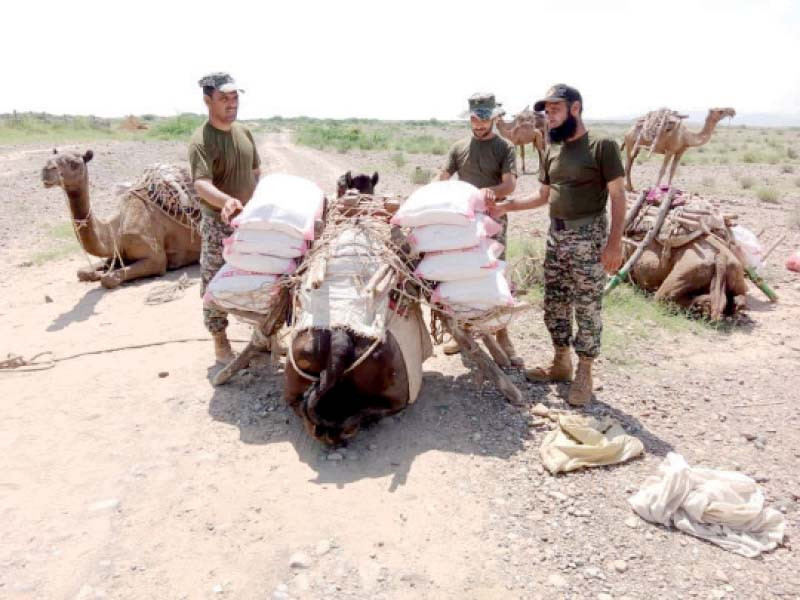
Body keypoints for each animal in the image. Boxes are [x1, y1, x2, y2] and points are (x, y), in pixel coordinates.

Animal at [42, 150, 202, 290]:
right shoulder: (115, 254)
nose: (46, 170)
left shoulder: (156, 258)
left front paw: (103, 275)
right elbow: (82, 272)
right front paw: (97, 273)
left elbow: (109, 279)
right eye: (51, 157)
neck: (117, 228)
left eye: (74, 163)